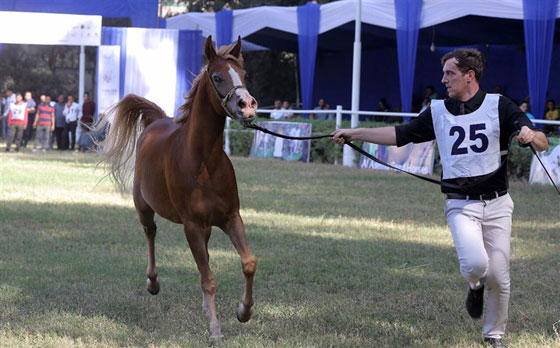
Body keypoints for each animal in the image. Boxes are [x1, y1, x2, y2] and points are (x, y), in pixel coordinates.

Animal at [99, 36, 258, 338]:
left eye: (244, 75)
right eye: (217, 77)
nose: (247, 105)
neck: (205, 162)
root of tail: (157, 120)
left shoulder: (231, 218)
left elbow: (248, 263)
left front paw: (243, 312)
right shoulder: (191, 225)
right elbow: (208, 278)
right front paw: (215, 329)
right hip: (144, 208)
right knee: (150, 233)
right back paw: (153, 283)